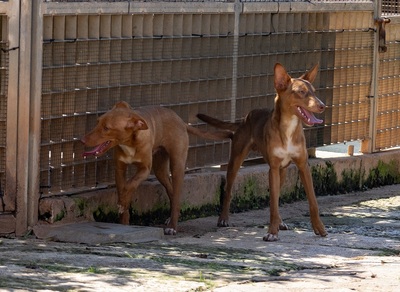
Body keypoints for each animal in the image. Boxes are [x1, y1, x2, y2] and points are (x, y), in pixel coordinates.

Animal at [81, 101, 230, 236]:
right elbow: (124, 188)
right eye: (97, 122)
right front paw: (123, 220)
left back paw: (172, 227)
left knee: (176, 193)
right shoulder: (120, 169)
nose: (82, 140)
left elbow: (129, 185)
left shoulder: (145, 169)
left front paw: (122, 202)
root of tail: (180, 121)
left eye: (106, 128)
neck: (130, 142)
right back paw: (172, 217)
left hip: (177, 166)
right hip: (160, 171)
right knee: (172, 192)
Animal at [197, 62, 328, 241]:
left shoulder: (303, 166)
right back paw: (223, 219)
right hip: (236, 161)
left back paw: (280, 222)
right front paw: (272, 232)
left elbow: (313, 202)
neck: (289, 128)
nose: (322, 105)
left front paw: (319, 229)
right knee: (228, 190)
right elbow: (273, 205)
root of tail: (245, 118)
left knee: (277, 196)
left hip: (282, 171)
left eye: (314, 91)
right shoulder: (272, 168)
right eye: (301, 92)